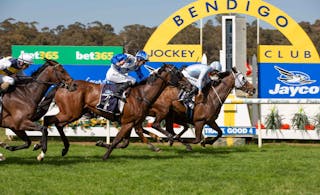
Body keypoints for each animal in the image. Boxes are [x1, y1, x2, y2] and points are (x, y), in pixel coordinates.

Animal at [38, 64, 191, 160]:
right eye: (178, 74)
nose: (190, 86)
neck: (142, 95)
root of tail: (62, 86)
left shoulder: (132, 122)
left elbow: (126, 142)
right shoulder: (128, 123)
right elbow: (118, 140)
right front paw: (105, 155)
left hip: (74, 113)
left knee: (57, 124)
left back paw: (60, 148)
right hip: (70, 113)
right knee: (48, 120)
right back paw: (42, 149)